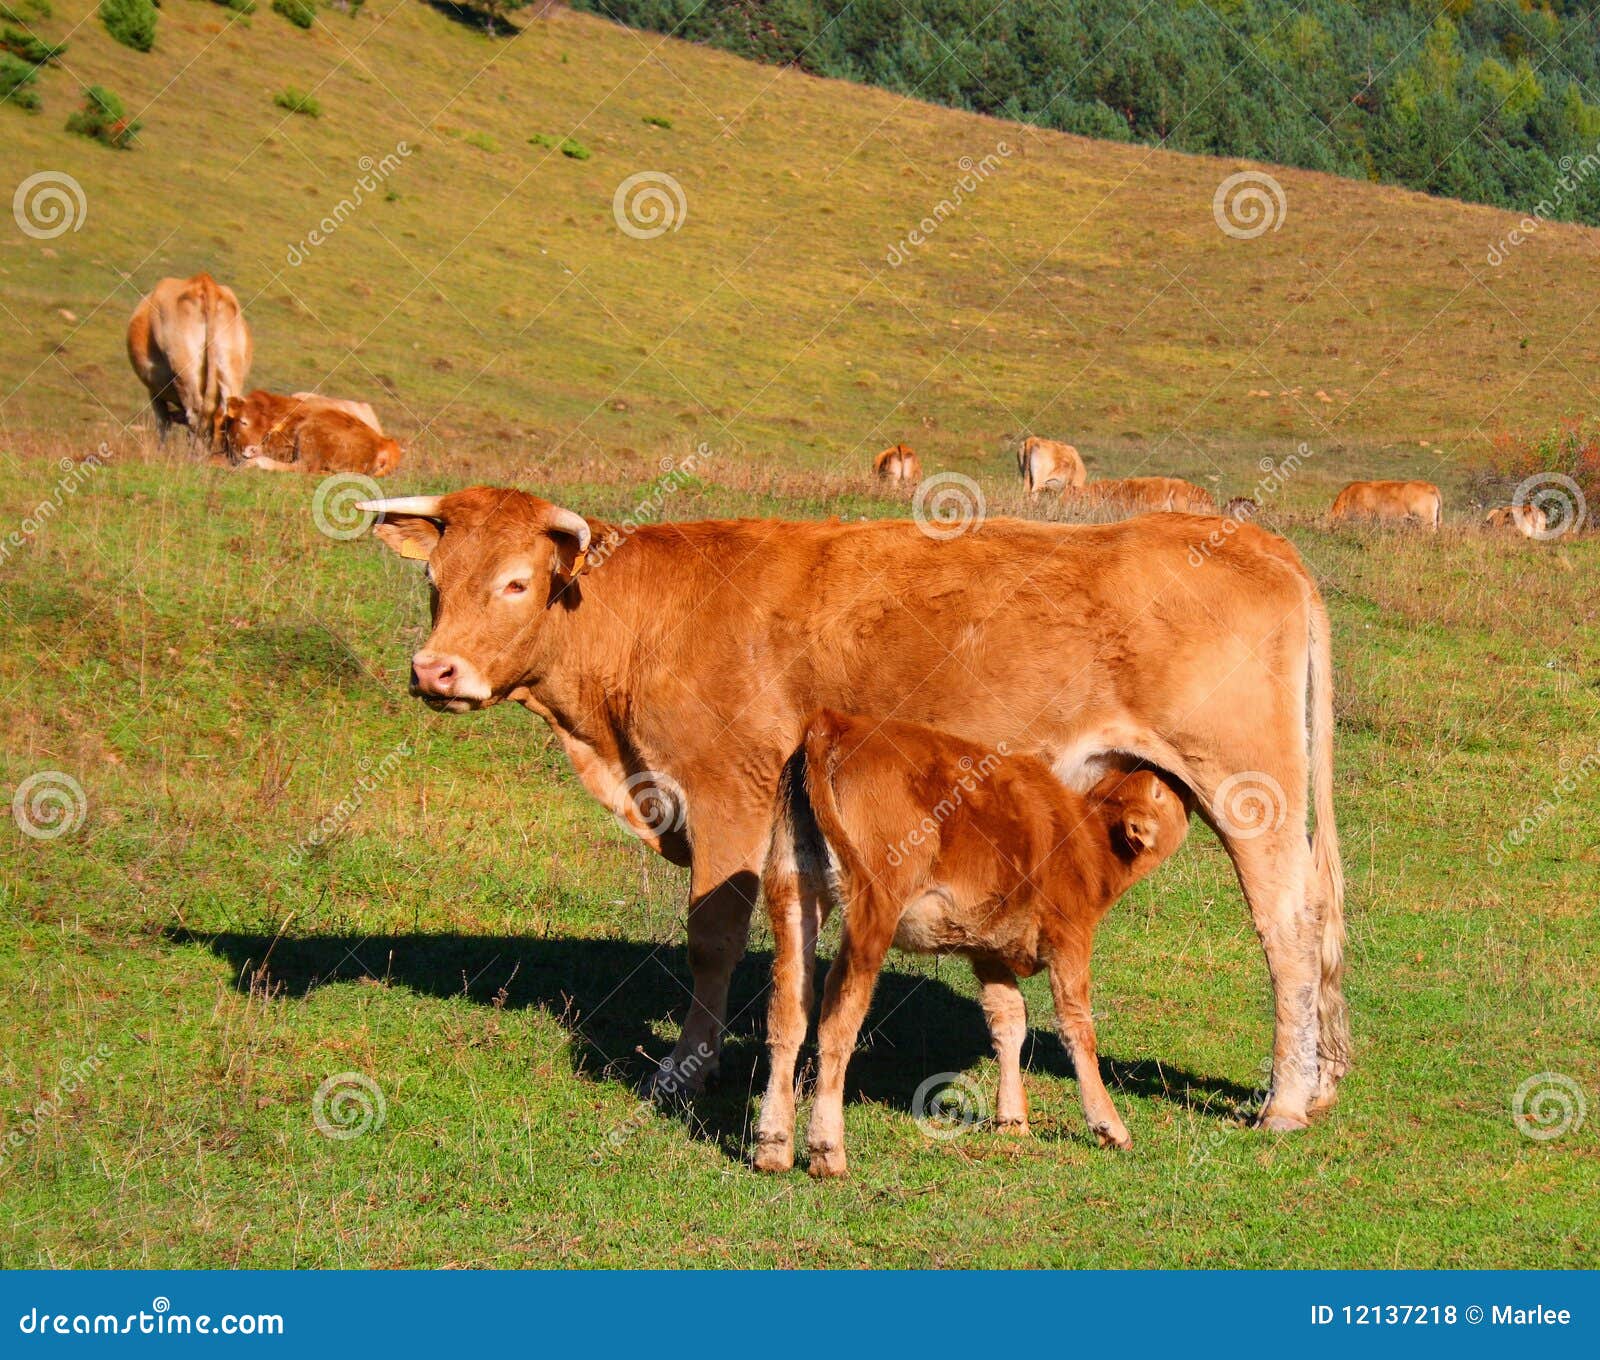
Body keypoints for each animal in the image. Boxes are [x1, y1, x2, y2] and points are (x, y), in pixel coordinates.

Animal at [124, 273, 251, 448]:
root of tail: (205, 282)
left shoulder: (155, 392)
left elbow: (163, 426)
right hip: (231, 370)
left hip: (184, 369)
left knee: (195, 416)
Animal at [752, 704, 1190, 1171]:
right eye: (1162, 792)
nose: (1179, 780)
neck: (1088, 841)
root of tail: (835, 724)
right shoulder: (1070, 937)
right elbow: (1076, 1027)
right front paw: (1108, 1125)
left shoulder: (989, 950)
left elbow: (1008, 1020)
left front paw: (1012, 1119)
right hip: (872, 913)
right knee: (838, 1021)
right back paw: (827, 1150)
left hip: (793, 891)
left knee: (787, 1014)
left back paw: (772, 1146)